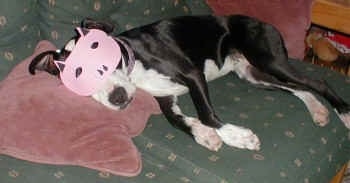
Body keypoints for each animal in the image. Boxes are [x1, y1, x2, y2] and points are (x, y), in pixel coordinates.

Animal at [28, 15, 350, 151]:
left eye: (104, 56)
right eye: (77, 77)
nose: (118, 97)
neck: (133, 62)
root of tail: (264, 22)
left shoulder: (192, 74)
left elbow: (206, 113)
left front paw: (238, 137)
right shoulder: (165, 97)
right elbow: (176, 120)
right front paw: (204, 135)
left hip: (267, 58)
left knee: (317, 81)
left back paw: (344, 114)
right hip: (254, 74)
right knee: (300, 87)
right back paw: (318, 111)